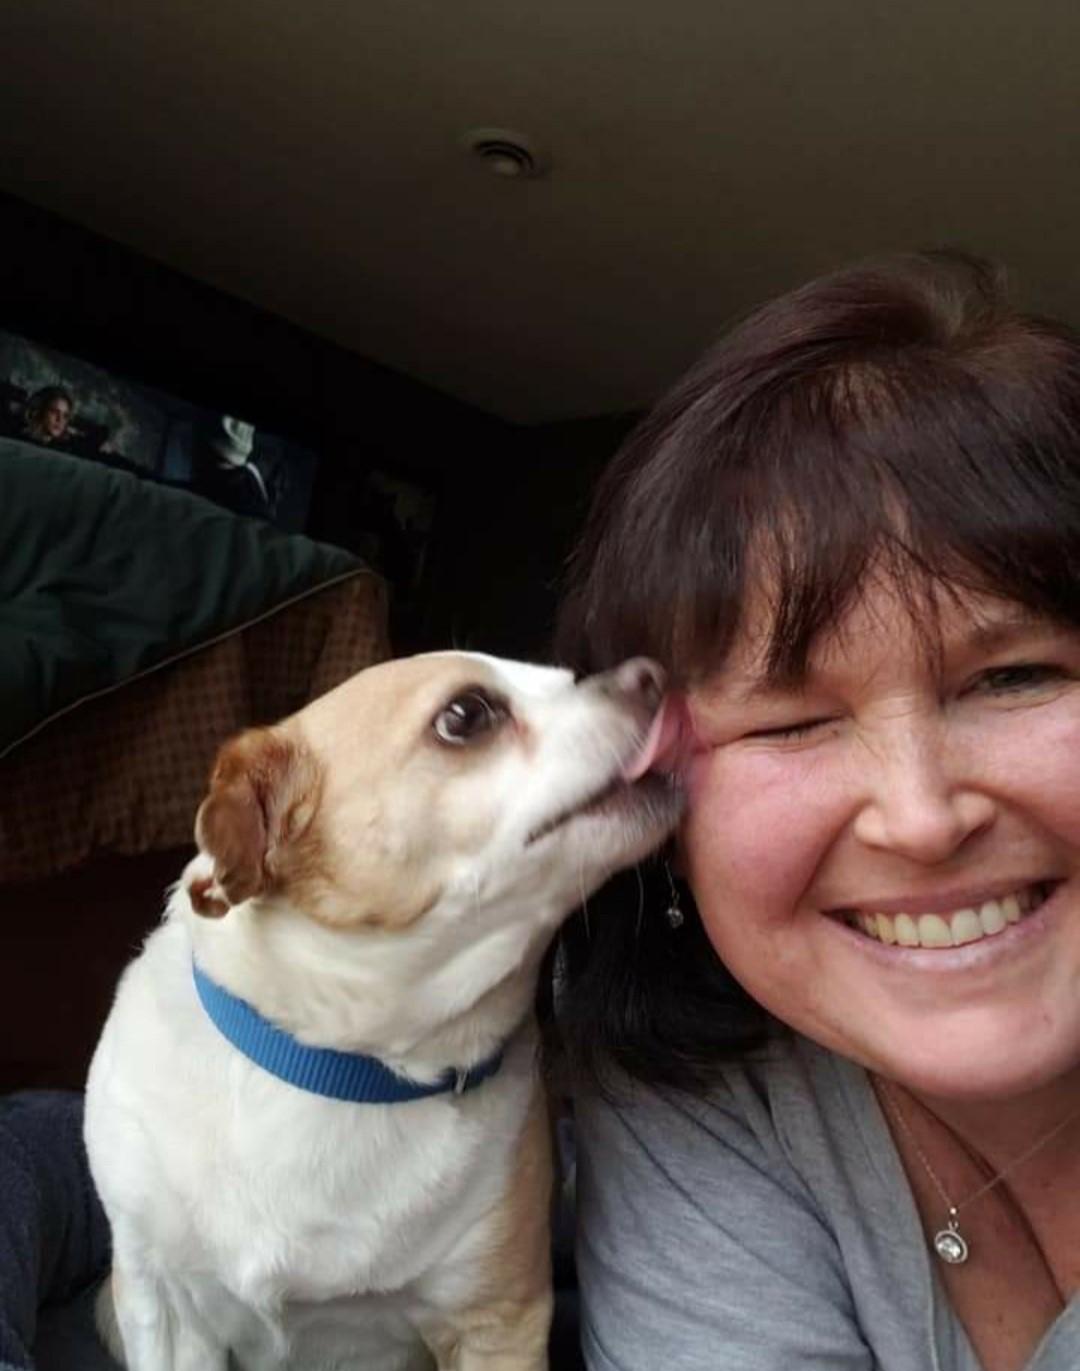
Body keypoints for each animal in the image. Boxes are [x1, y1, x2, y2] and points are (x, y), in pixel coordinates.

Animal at [86, 652, 682, 1371]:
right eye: (466, 714)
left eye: (567, 676)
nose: (652, 673)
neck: (351, 1067)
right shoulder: (169, 1312)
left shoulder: (496, 1319)